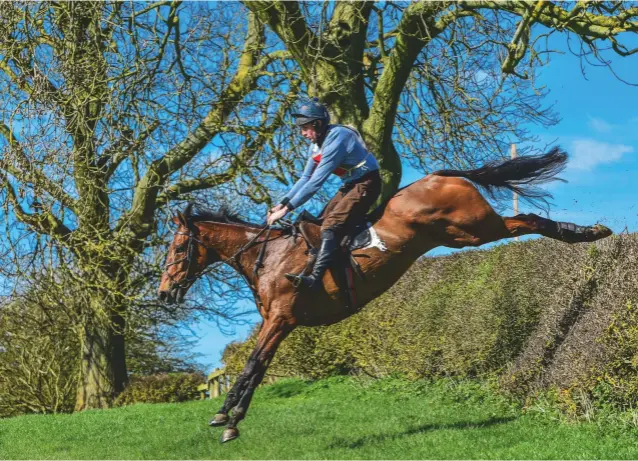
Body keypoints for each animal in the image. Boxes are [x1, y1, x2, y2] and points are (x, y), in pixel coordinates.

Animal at [158, 148, 612, 442]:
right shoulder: (280, 323)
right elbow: (258, 367)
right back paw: (586, 232)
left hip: (476, 227)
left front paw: (225, 417)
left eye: (178, 249)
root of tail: (441, 175)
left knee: (528, 219)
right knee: (523, 219)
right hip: (461, 234)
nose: (164, 294)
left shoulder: (281, 319)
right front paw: (231, 418)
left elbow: (252, 365)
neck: (267, 256)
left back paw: (587, 233)